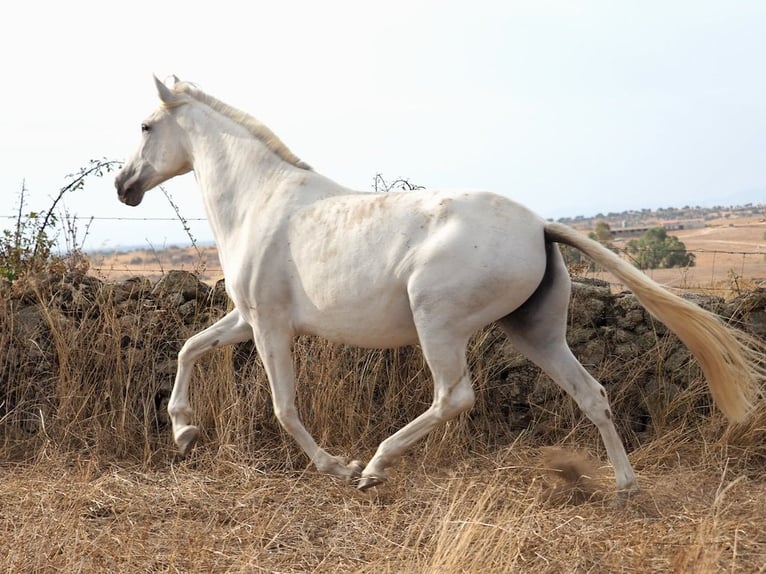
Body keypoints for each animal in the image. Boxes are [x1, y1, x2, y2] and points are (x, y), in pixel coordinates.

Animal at [115, 75, 760, 500]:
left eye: (145, 126)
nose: (124, 186)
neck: (260, 202)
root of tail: (538, 224)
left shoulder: (270, 325)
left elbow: (284, 407)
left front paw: (338, 467)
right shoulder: (246, 318)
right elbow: (189, 349)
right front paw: (183, 430)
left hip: (438, 322)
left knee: (454, 396)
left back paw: (375, 466)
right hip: (536, 332)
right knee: (592, 393)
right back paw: (625, 485)